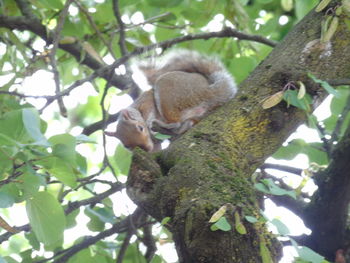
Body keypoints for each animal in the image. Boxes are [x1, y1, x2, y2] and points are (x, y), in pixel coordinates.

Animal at [106, 50, 238, 153]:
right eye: (127, 146)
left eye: (140, 128)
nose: (148, 149)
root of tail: (209, 91)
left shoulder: (146, 102)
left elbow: (149, 111)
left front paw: (149, 123)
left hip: (169, 95)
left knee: (176, 121)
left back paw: (165, 124)